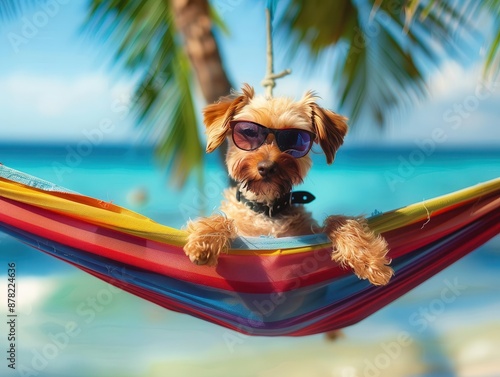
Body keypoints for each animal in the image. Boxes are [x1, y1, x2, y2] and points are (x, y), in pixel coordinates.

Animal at [184, 84, 394, 284]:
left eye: (294, 138)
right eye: (249, 133)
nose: (267, 167)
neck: (268, 210)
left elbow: (335, 220)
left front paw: (368, 257)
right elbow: (224, 219)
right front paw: (205, 238)